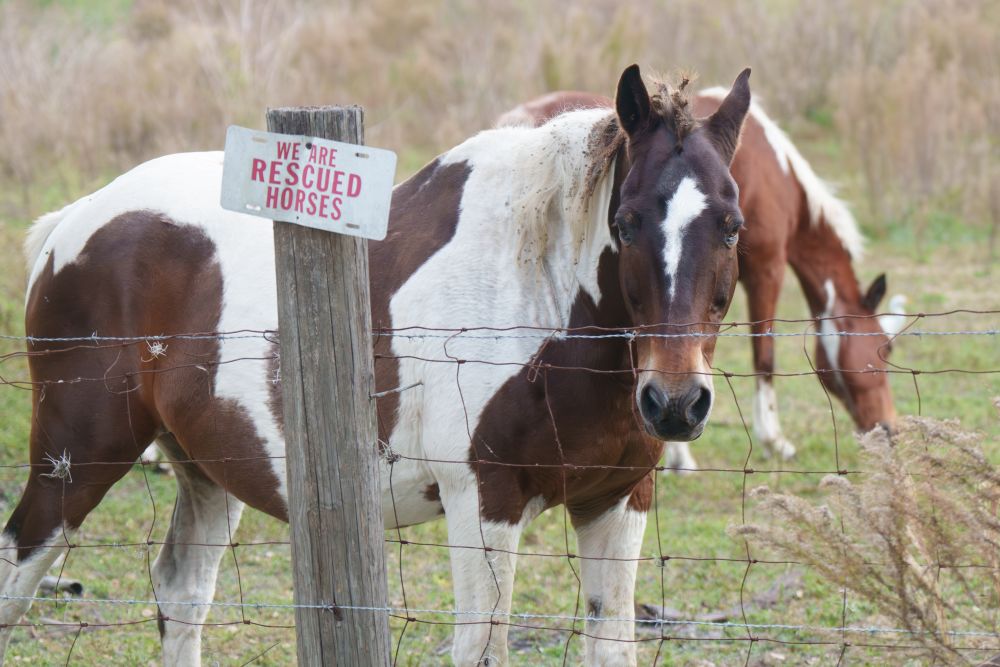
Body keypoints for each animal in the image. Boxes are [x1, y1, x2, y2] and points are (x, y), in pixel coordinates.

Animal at [0, 65, 753, 666]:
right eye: (626, 222)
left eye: (732, 225)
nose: (675, 403)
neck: (536, 292)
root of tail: (76, 222)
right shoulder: (485, 503)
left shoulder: (617, 501)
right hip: (76, 460)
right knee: (17, 571)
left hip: (205, 471)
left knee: (182, 592)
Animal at [498, 87, 906, 472]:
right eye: (882, 351)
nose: (888, 429)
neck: (778, 171)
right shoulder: (768, 268)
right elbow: (764, 353)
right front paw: (773, 441)